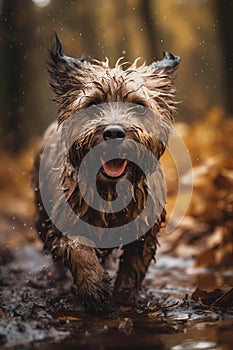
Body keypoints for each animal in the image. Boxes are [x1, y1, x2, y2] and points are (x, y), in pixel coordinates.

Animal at [31, 34, 180, 312]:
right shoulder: (64, 218)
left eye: (139, 106)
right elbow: (77, 247)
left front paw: (124, 298)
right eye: (93, 104)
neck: (111, 190)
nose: (113, 132)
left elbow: (132, 270)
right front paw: (93, 286)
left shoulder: (144, 233)